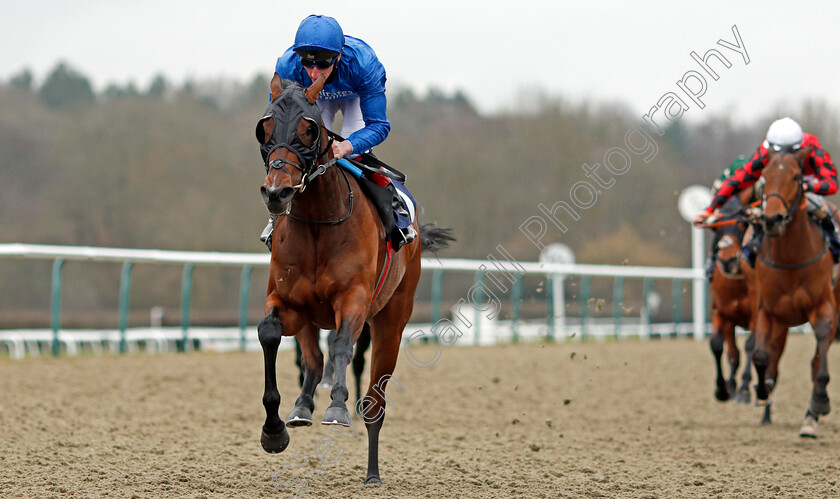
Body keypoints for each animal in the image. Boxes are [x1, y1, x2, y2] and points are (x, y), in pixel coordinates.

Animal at [748, 146, 840, 438]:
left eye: (797, 177)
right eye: (764, 176)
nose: (772, 219)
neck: (790, 258)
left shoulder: (824, 307)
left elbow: (819, 363)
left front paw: (819, 405)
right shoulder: (767, 312)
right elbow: (761, 355)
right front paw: (761, 390)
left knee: (816, 361)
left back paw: (812, 415)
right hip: (782, 323)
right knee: (773, 359)